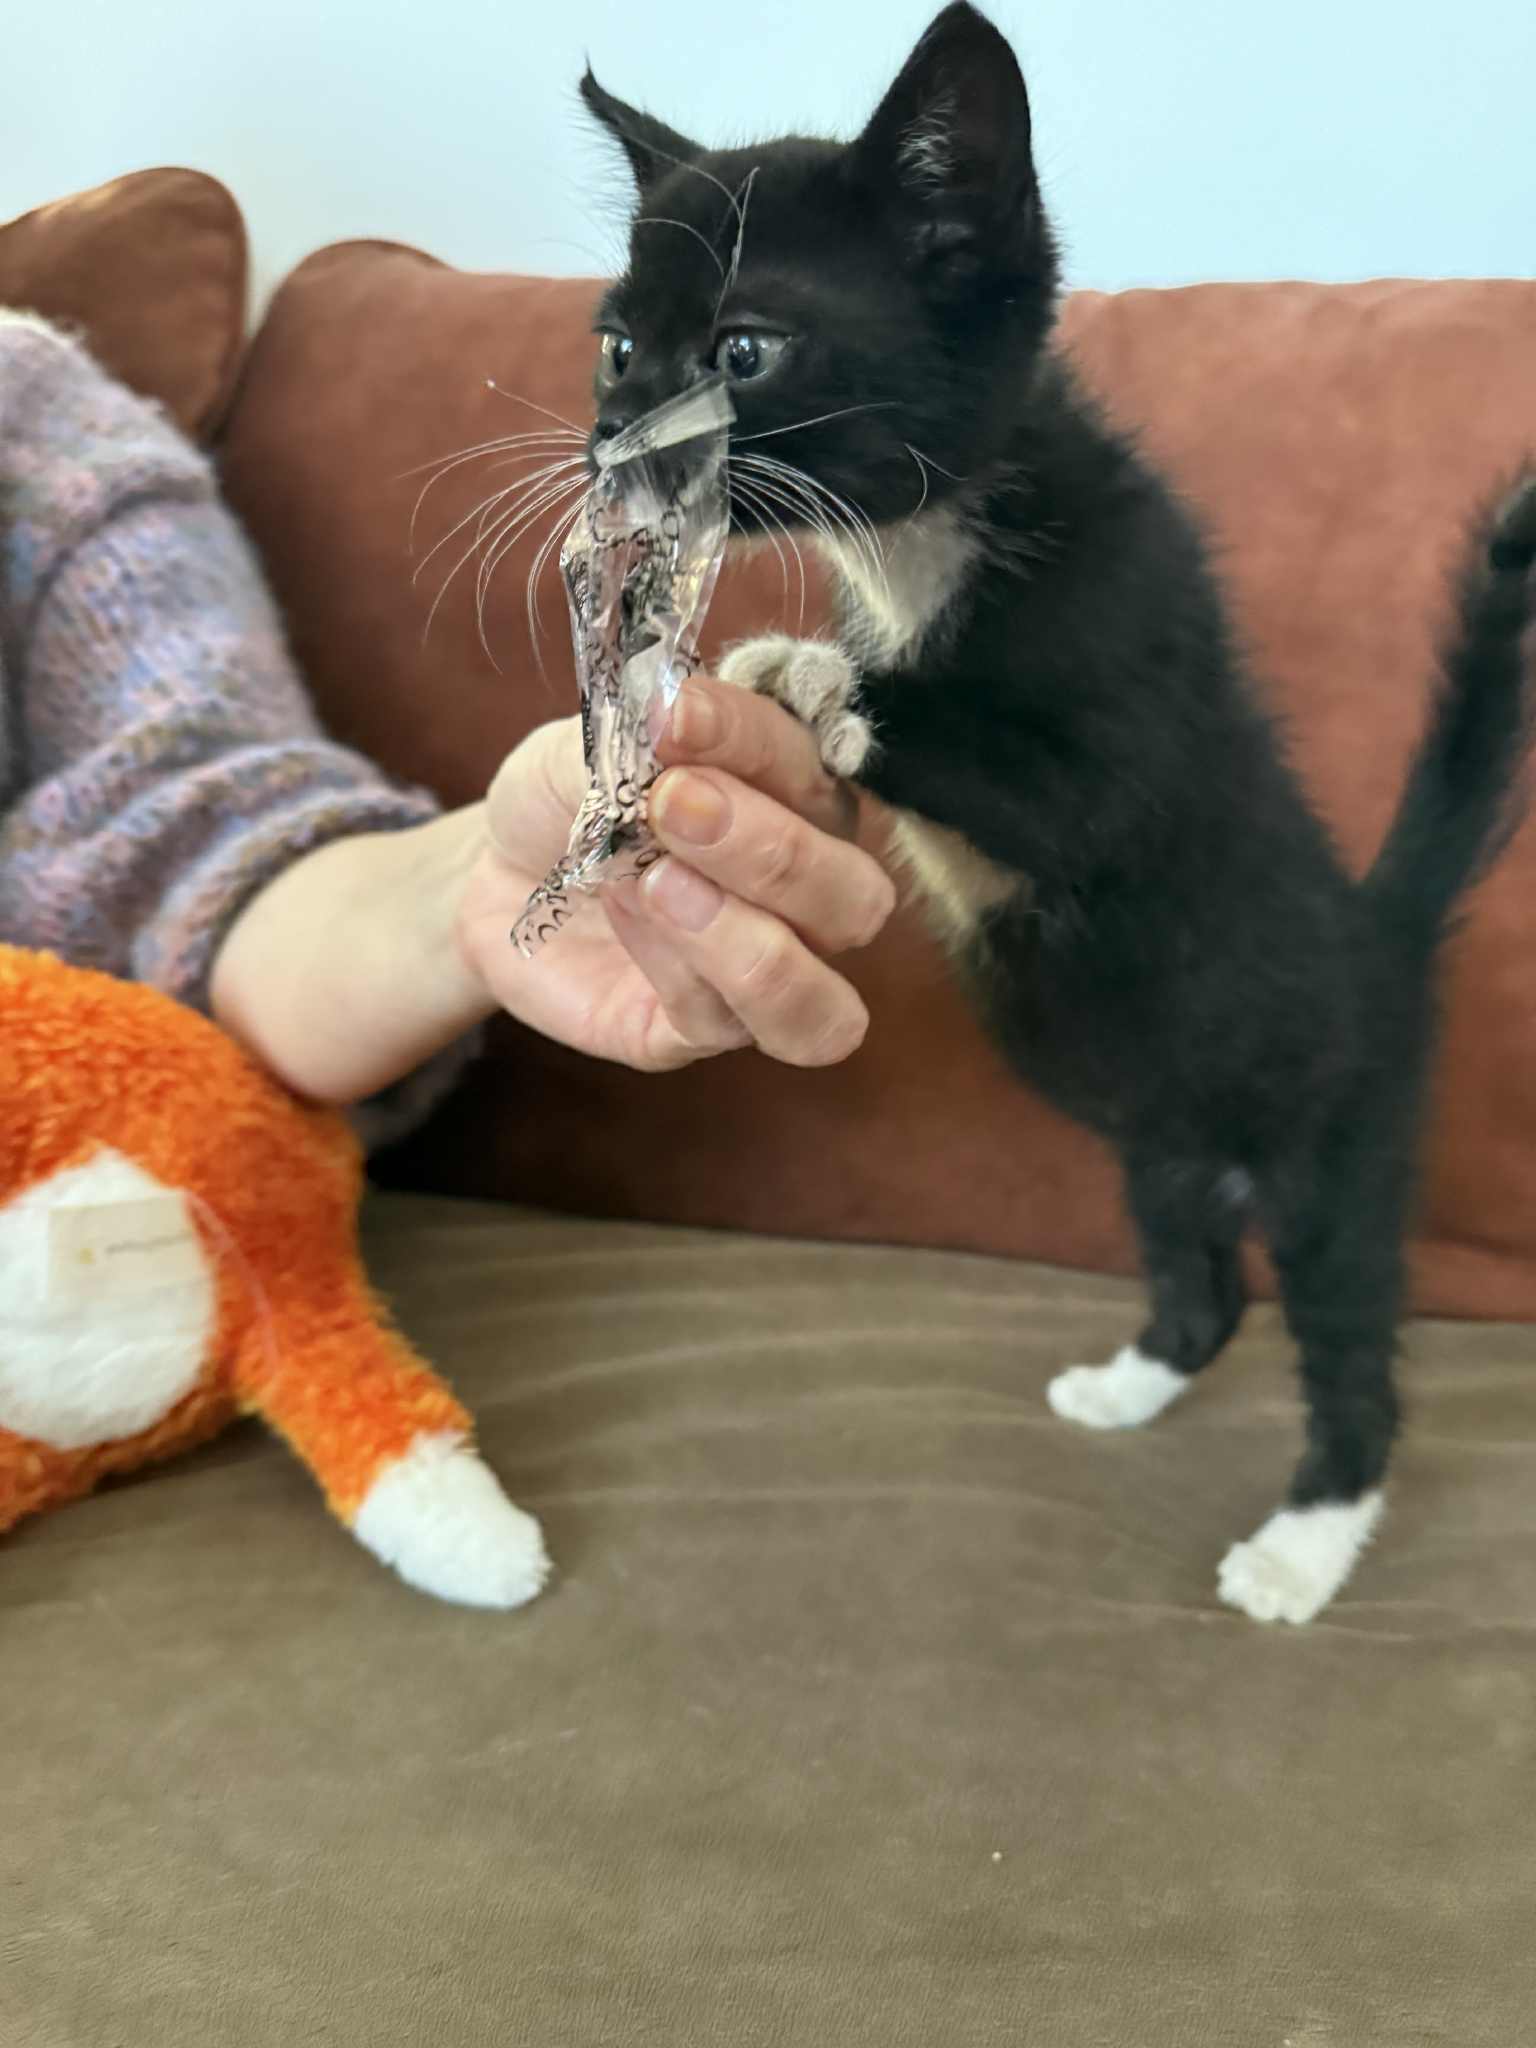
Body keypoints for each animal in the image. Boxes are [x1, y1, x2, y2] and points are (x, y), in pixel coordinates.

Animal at [577, 2, 1536, 1622]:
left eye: (742, 351)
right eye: (616, 346)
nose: (611, 447)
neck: (919, 541)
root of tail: (1379, 930)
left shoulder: (1137, 697)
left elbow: (1047, 773)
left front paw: (814, 672)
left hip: (1337, 1144)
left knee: (1346, 1342)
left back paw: (1309, 1537)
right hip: (1159, 1135)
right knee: (1206, 1281)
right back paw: (1136, 1380)